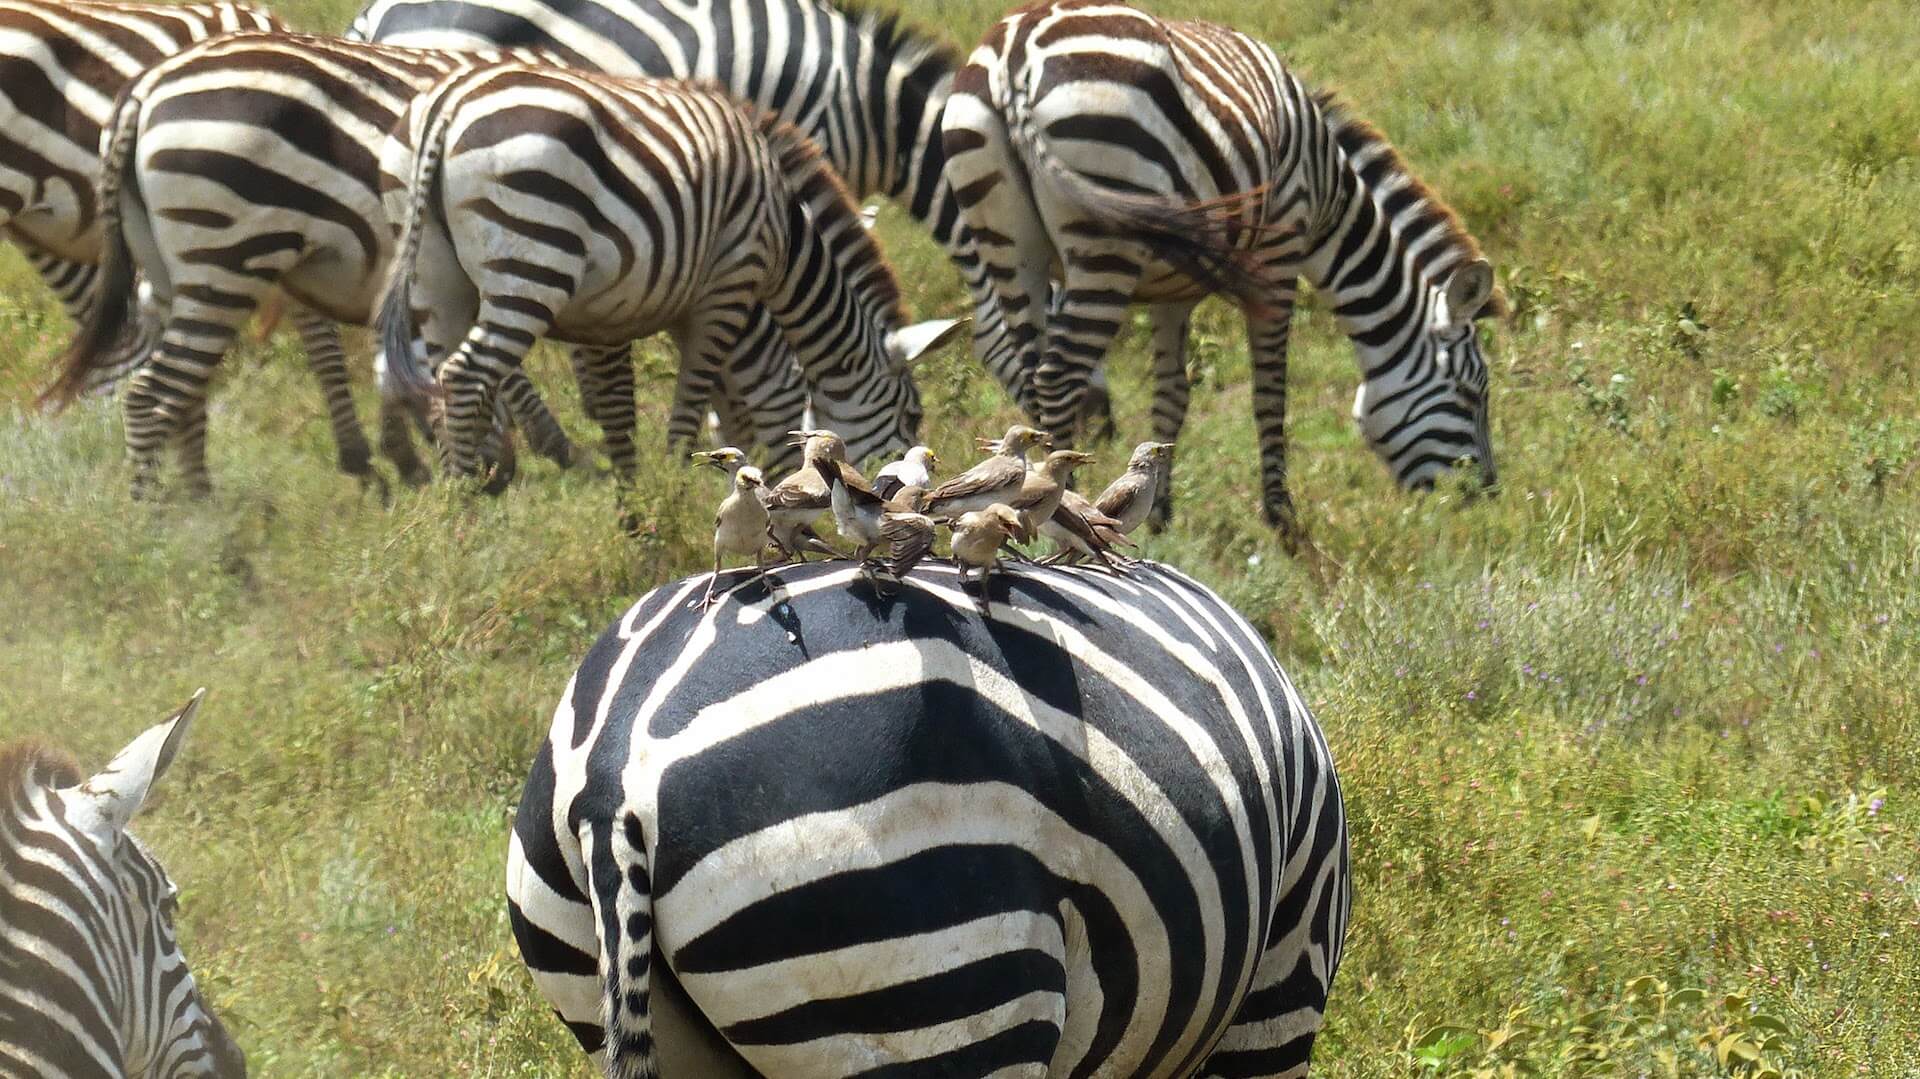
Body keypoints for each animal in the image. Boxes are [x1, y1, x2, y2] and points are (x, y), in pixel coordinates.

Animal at [39, 31, 584, 500]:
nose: (498, 477)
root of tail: (146, 87)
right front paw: (553, 452)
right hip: (226, 253)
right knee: (153, 396)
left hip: (170, 266)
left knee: (177, 391)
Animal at [375, 65, 949, 489]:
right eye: (912, 416)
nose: (893, 492)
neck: (787, 237)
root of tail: (445, 106)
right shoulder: (727, 287)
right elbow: (705, 401)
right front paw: (681, 488)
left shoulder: (671, 302)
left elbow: (728, 405)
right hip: (532, 259)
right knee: (464, 376)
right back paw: (464, 502)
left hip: (435, 278)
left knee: (439, 382)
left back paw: (462, 505)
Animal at [941, 0, 1503, 537]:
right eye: (1471, 393)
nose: (1486, 500)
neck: (1329, 196)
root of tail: (1016, 53)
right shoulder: (1279, 256)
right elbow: (1270, 394)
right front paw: (1284, 523)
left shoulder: (1172, 291)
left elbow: (1172, 397)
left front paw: (1159, 511)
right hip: (1104, 241)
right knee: (1059, 379)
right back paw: (1064, 503)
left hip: (1007, 242)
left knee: (1029, 368)